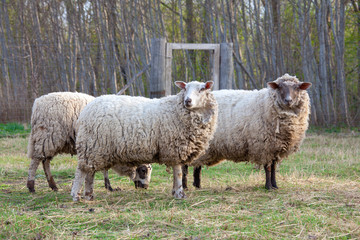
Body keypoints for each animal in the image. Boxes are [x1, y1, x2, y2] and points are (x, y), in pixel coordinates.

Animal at [70, 80, 217, 201]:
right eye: (185, 88)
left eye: (202, 89)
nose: (187, 101)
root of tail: (85, 111)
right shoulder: (174, 148)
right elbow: (179, 173)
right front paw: (180, 194)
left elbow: (178, 174)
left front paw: (175, 191)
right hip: (92, 145)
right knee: (81, 171)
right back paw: (76, 195)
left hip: (95, 150)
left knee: (90, 172)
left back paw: (89, 195)